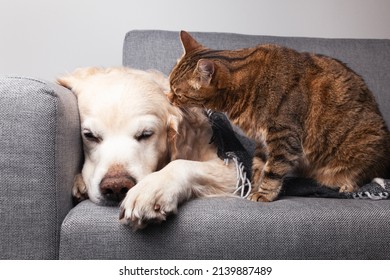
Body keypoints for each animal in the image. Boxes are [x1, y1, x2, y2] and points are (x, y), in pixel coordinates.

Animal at [58, 68, 242, 230]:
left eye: (146, 134)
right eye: (89, 135)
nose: (116, 187)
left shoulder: (234, 169)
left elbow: (181, 164)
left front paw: (152, 189)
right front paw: (80, 182)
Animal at [168, 30, 390, 201]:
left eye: (178, 93)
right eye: (169, 85)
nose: (168, 98)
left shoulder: (284, 136)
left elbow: (273, 170)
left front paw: (263, 194)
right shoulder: (262, 140)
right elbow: (259, 166)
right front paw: (254, 187)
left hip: (365, 142)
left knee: (363, 174)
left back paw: (346, 185)